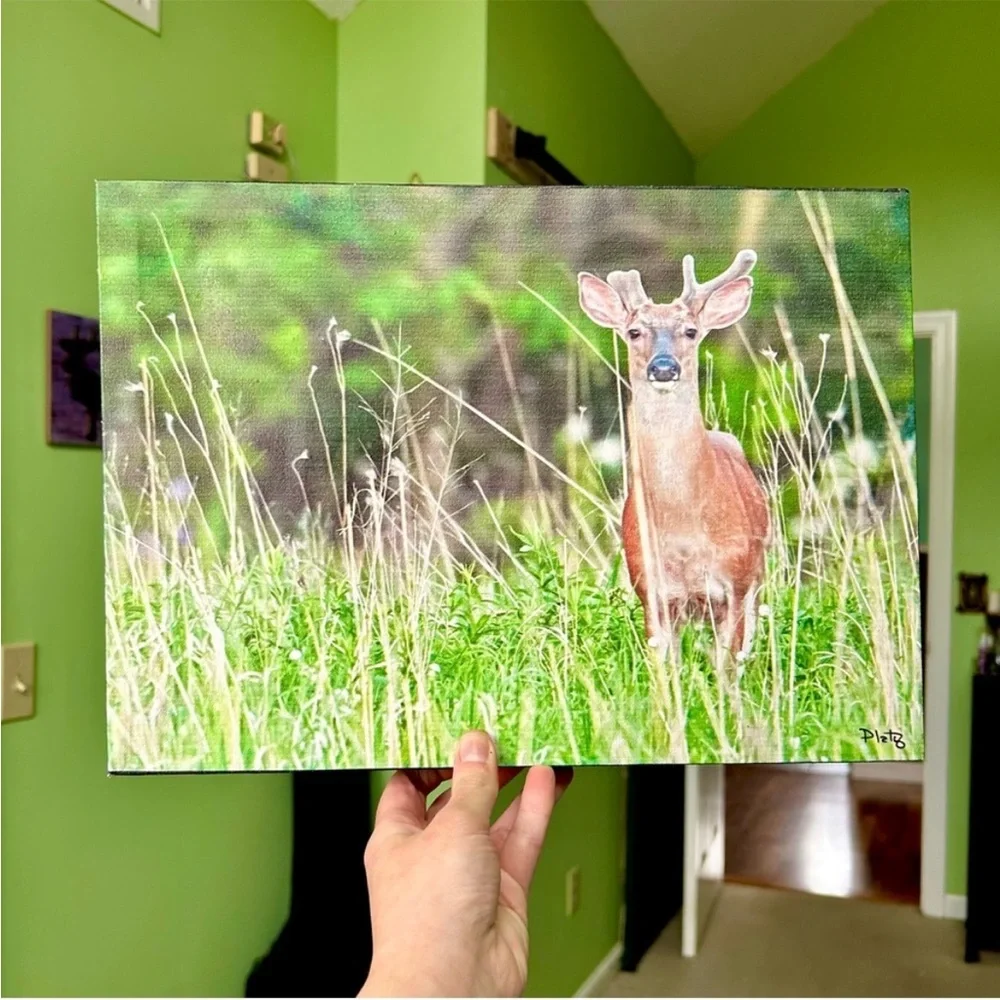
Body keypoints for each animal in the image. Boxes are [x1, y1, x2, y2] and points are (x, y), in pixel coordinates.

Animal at [577, 250, 770, 667]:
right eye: (634, 332)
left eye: (691, 331)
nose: (664, 367)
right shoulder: (651, 591)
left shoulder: (735, 583)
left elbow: (726, 669)